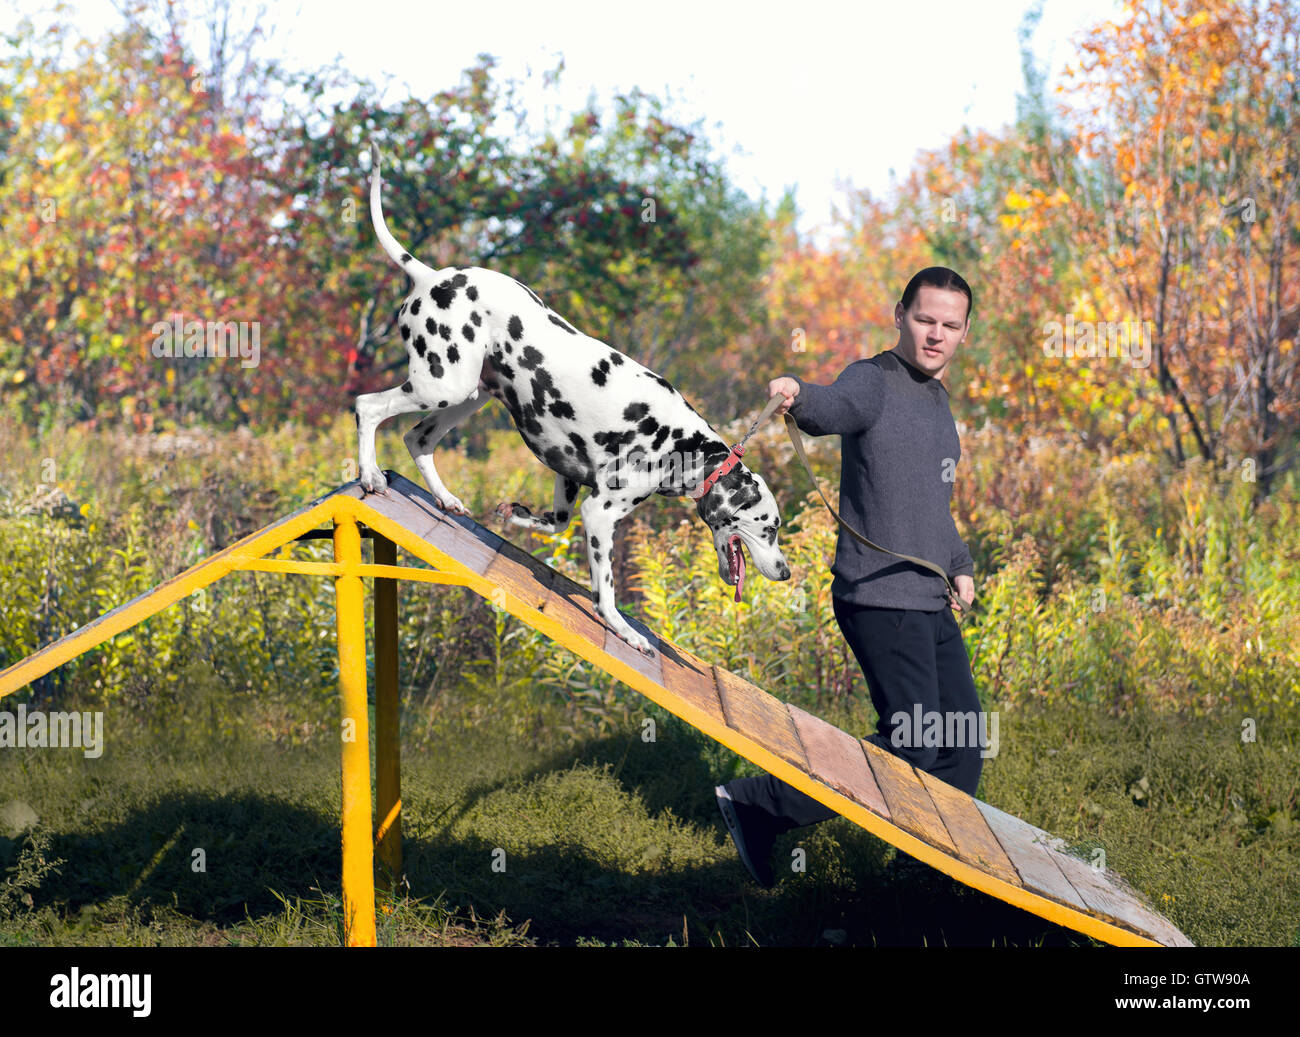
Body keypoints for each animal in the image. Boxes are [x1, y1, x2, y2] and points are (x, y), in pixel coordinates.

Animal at [353, 144, 790, 657]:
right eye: (770, 528)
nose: (786, 571)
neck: (682, 443)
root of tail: (431, 275)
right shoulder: (600, 513)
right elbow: (607, 589)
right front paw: (623, 630)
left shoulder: (568, 479)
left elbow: (554, 523)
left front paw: (517, 516)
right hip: (442, 386)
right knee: (367, 407)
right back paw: (369, 475)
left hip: (467, 395)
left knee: (418, 439)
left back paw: (446, 498)